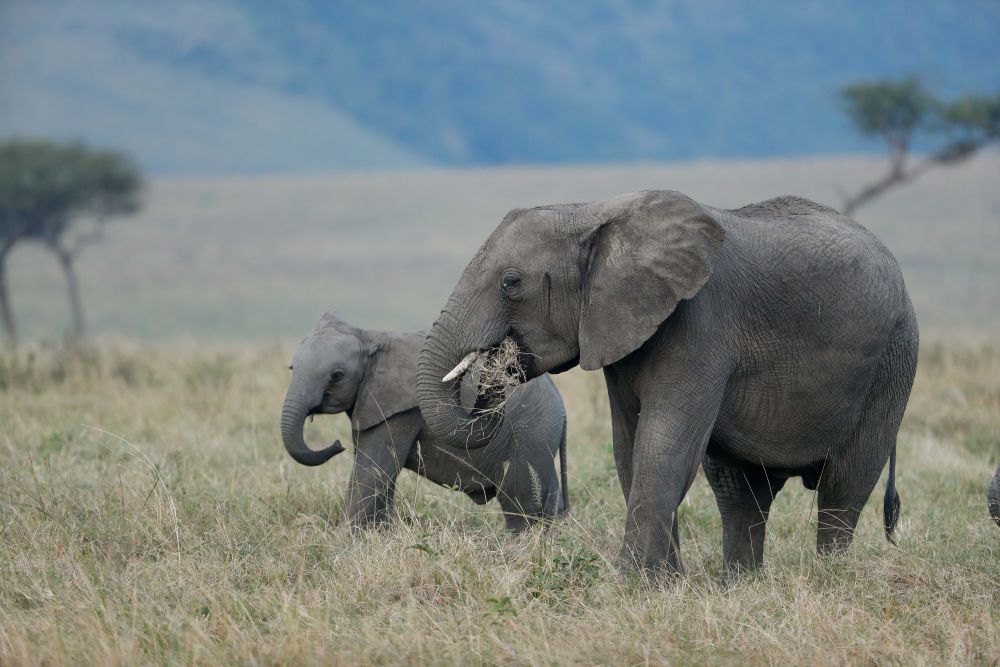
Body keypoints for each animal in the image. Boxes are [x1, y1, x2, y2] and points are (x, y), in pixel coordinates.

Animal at [280, 310, 572, 532]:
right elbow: (379, 473)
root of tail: (562, 406)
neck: (369, 336)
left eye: (337, 376)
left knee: (520, 500)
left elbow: (371, 471)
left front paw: (344, 541)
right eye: (291, 369)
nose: (336, 445)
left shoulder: (402, 411)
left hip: (529, 434)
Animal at [416, 190, 920, 576]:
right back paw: (739, 586)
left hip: (893, 362)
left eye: (511, 282)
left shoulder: (700, 324)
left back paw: (826, 579)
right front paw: (665, 584)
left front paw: (631, 585)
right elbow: (629, 450)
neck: (592, 212)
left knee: (845, 485)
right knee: (741, 492)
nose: (495, 367)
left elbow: (662, 448)